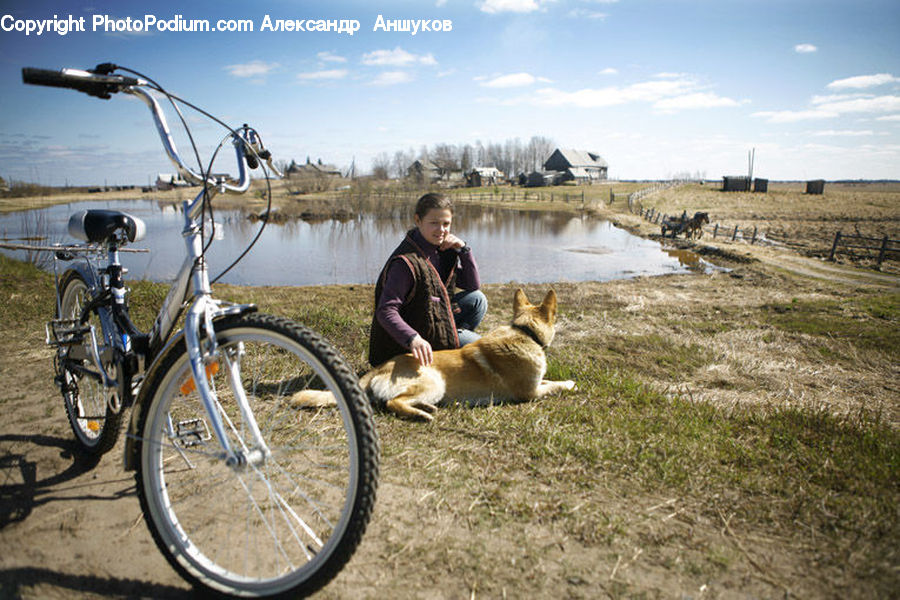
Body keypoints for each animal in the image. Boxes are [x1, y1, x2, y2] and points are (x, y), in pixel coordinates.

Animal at [296, 288, 576, 420]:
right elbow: (555, 385)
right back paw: (421, 414)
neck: (525, 332)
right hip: (434, 381)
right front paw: (571, 383)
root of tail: (379, 368)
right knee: (392, 403)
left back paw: (427, 408)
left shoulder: (536, 383)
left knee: (398, 400)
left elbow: (549, 380)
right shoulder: (530, 392)